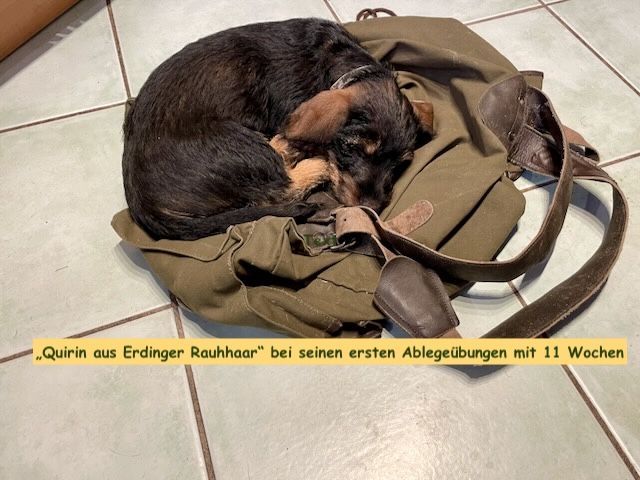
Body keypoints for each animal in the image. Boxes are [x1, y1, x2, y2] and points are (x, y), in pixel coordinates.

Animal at [122, 18, 434, 240]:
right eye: (352, 148)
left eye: (400, 164)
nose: (371, 207)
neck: (348, 68)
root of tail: (142, 204)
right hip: (242, 146)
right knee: (281, 187)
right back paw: (313, 162)